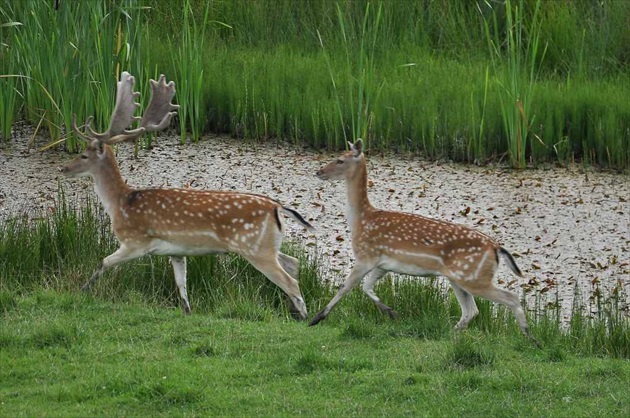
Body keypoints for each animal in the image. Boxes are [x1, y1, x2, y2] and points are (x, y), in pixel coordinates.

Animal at [60, 72, 312, 318]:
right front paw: (187, 311)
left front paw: (82, 291)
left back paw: (304, 317)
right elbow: (182, 285)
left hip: (255, 248)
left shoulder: (135, 242)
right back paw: (295, 311)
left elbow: (103, 262)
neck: (119, 203)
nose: (64, 168)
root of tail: (277, 207)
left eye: (84, 155)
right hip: (269, 245)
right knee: (294, 261)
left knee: (290, 282)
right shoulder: (176, 252)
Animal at [312, 139, 540, 344]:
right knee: (471, 311)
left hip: (474, 277)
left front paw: (317, 318)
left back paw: (531, 338)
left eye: (340, 160)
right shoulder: (383, 264)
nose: (319, 172)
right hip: (459, 277)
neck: (361, 220)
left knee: (510, 298)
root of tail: (496, 248)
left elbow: (345, 287)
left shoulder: (365, 255)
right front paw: (390, 311)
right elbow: (367, 287)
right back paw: (451, 335)